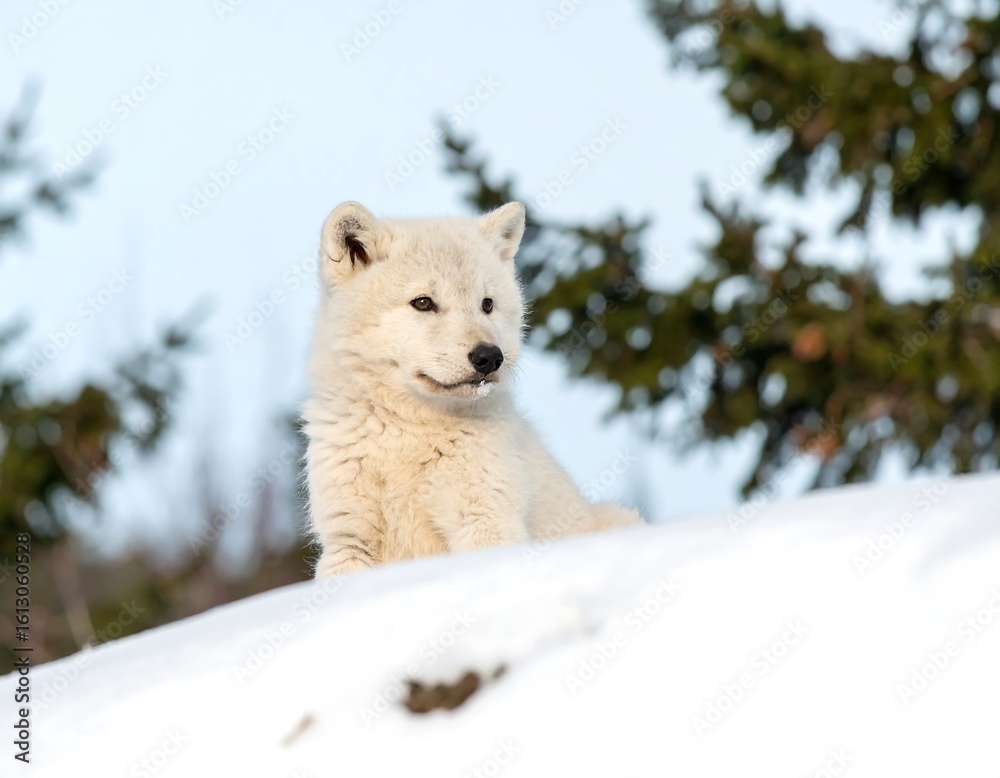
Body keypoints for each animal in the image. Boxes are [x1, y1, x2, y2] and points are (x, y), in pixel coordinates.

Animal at [302, 201, 643, 578]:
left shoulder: (485, 523)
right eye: (423, 302)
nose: (489, 357)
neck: (409, 430)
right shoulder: (348, 543)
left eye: (487, 304)